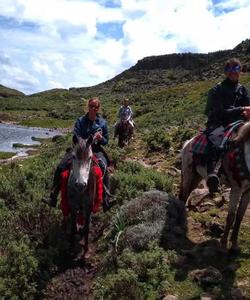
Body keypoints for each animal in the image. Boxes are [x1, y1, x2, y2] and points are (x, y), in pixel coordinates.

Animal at [179, 122, 250, 251]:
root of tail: (188, 142)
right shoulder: (236, 188)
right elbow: (231, 216)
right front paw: (223, 244)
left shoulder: (248, 191)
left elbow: (239, 216)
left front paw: (234, 245)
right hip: (188, 174)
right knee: (183, 196)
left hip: (196, 177)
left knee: (186, 195)